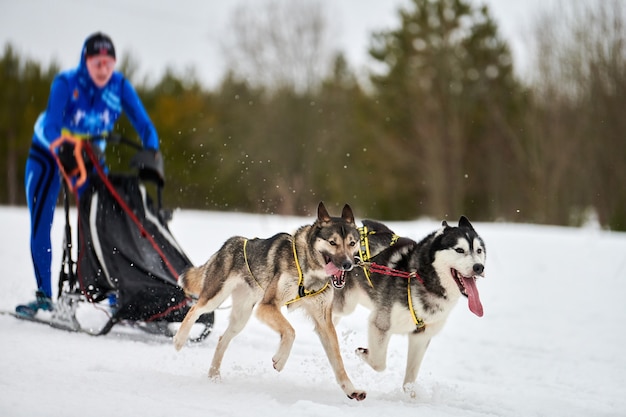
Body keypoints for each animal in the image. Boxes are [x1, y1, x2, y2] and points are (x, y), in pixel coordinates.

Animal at [171, 202, 366, 400]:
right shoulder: (267, 306)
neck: (310, 270)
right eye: (333, 242)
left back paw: (214, 375)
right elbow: (290, 331)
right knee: (194, 309)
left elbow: (338, 361)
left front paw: (351, 389)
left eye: (352, 243)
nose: (347, 264)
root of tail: (230, 242)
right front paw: (280, 360)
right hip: (216, 297)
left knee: (221, 340)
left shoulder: (324, 322)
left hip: (241, 317)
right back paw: (179, 340)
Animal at [334, 216, 486, 392]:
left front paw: (410, 394)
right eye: (459, 250)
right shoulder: (380, 324)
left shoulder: (421, 336)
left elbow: (410, 379)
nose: (479, 267)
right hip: (344, 305)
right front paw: (364, 353)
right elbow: (379, 363)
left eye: (479, 250)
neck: (421, 278)